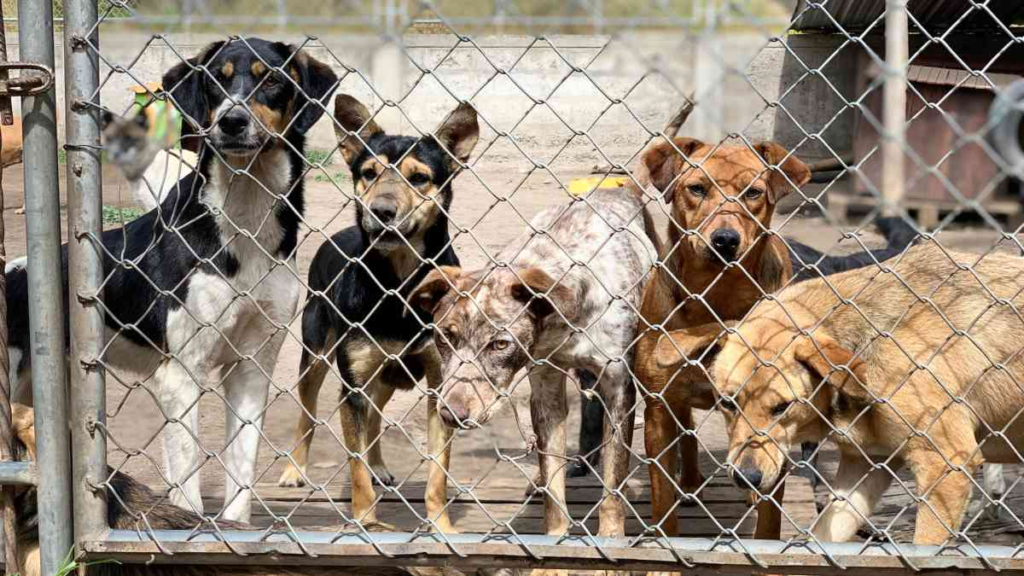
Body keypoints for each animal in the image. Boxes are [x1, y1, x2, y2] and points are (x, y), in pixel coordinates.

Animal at [4, 36, 339, 520]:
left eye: (273, 80)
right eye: (217, 79)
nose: (232, 122)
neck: (244, 222)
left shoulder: (252, 367)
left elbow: (241, 478)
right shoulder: (181, 374)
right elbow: (188, 487)